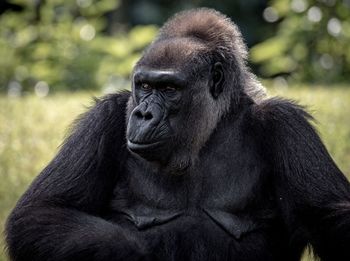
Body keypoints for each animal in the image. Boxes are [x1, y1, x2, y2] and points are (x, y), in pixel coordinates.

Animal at [5, 8, 350, 260]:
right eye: (144, 85)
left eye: (169, 89)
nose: (143, 114)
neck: (211, 128)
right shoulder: (103, 119)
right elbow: (41, 214)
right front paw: (133, 250)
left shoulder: (288, 127)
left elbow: (332, 216)